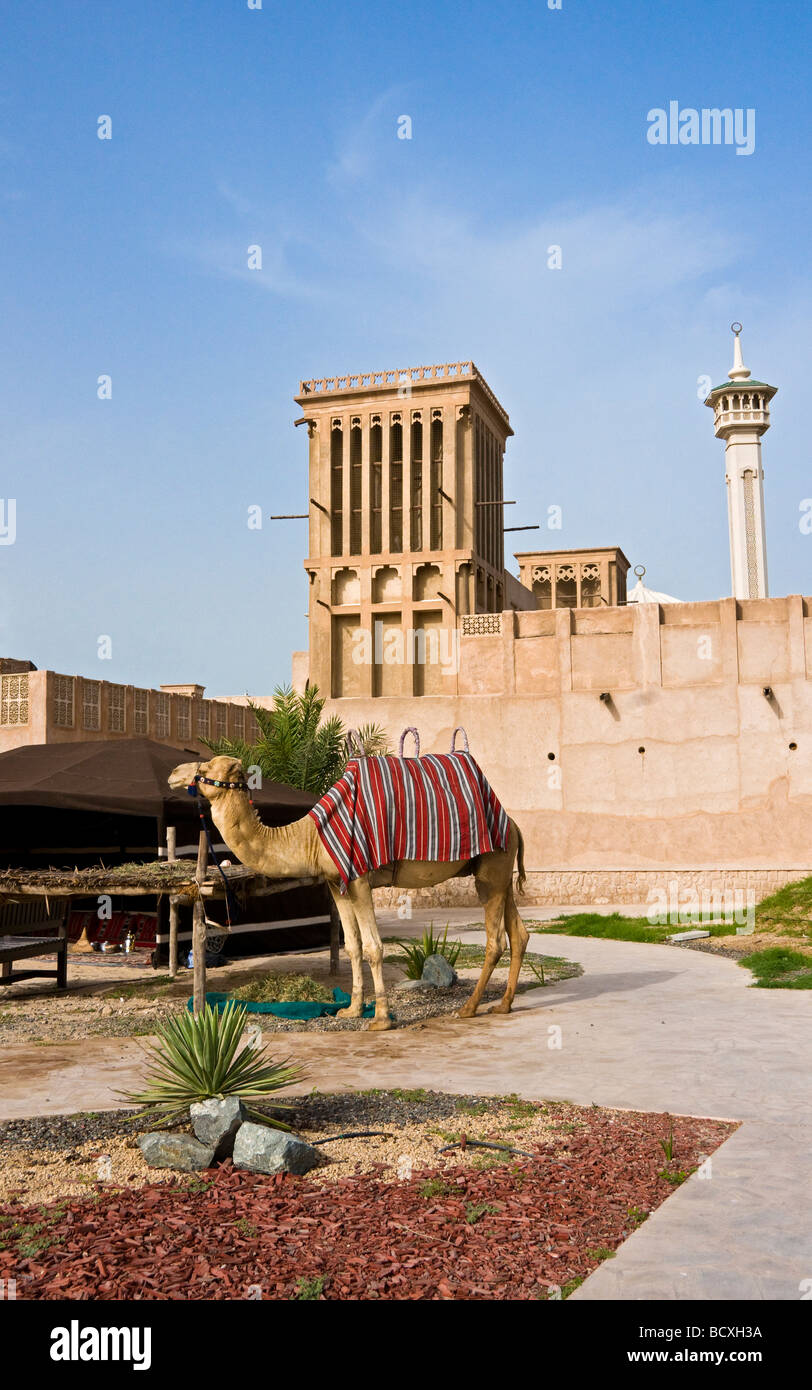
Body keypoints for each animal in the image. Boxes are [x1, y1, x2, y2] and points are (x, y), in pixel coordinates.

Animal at [168, 756, 528, 1028]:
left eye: (206, 766)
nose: (173, 774)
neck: (310, 839)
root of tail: (513, 824)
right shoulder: (336, 884)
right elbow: (353, 947)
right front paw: (352, 1010)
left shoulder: (359, 879)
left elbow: (373, 947)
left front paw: (381, 1019)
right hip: (501, 872)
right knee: (519, 934)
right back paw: (503, 1004)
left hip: (490, 869)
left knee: (496, 939)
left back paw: (468, 1008)